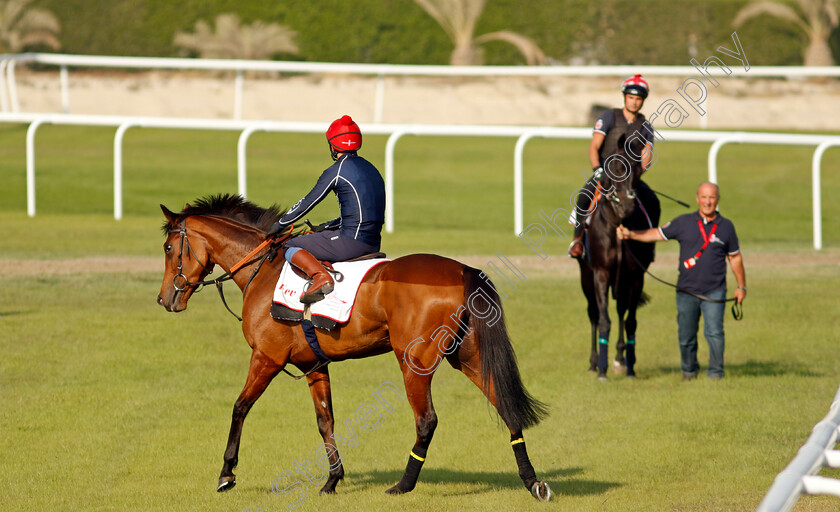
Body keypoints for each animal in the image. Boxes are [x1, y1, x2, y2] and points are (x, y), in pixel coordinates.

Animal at [158, 195, 552, 500]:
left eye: (168, 248)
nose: (165, 299)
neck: (263, 270)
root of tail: (461, 269)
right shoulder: (313, 365)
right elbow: (325, 420)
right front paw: (332, 480)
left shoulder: (267, 358)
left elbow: (240, 408)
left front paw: (227, 473)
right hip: (468, 356)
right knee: (506, 407)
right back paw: (532, 482)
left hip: (414, 363)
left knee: (426, 420)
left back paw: (404, 485)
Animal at [580, 124, 660, 380]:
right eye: (614, 167)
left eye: (635, 169)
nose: (626, 206)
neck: (617, 225)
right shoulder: (600, 273)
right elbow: (604, 320)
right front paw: (601, 370)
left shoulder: (635, 276)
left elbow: (630, 320)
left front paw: (629, 366)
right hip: (586, 276)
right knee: (594, 314)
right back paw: (593, 363)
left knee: (621, 310)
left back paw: (619, 358)